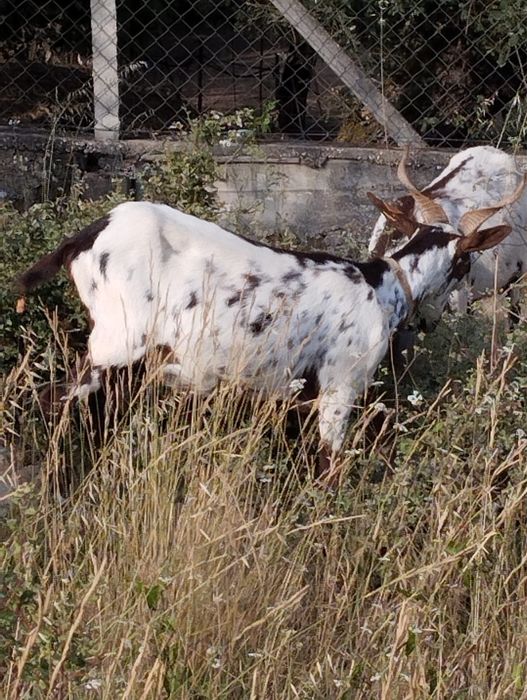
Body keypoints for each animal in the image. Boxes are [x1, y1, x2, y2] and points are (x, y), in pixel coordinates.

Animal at [16, 199, 516, 483]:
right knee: (52, 399)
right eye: (465, 264)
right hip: (117, 341)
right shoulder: (341, 384)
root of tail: (83, 239)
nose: (437, 317)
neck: (382, 286)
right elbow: (330, 462)